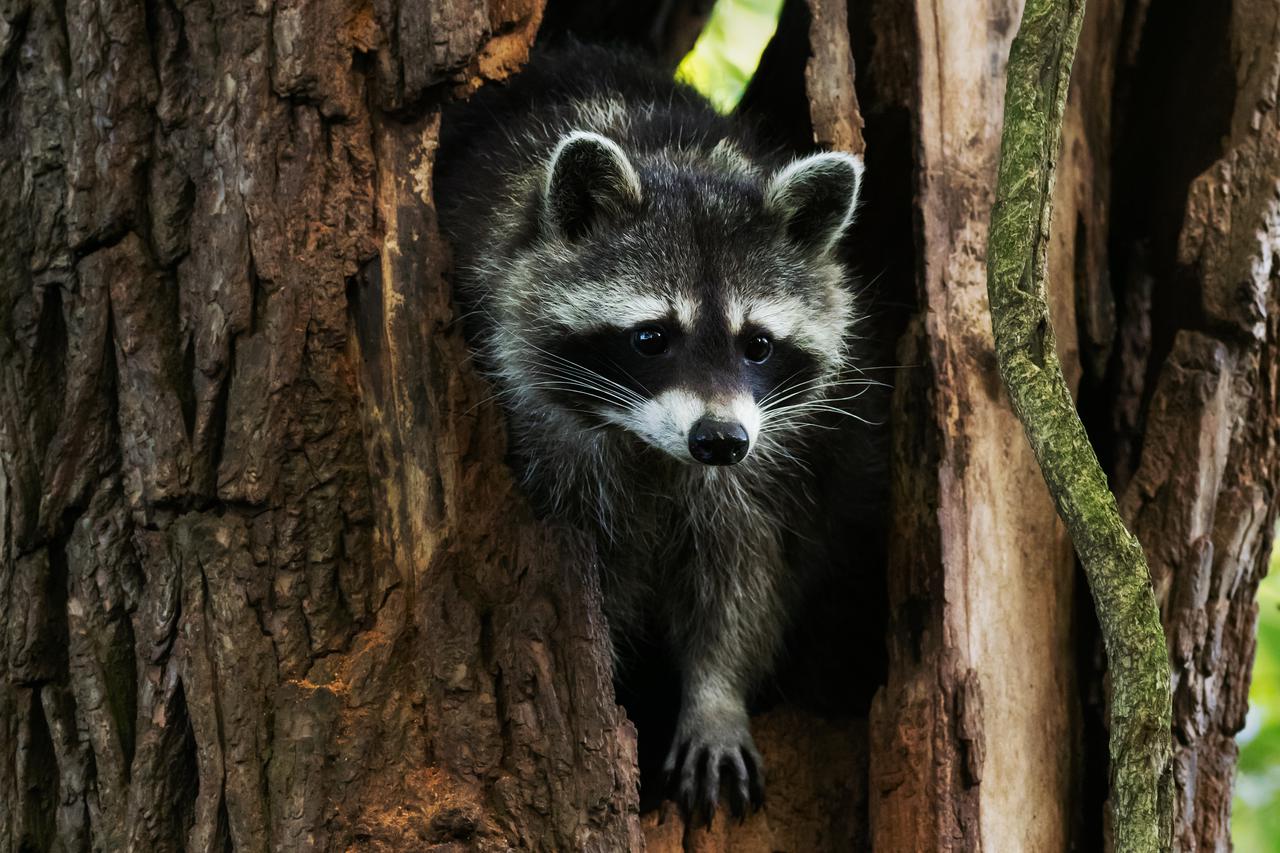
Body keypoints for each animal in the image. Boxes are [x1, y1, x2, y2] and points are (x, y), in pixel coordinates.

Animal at [436, 45, 870, 821]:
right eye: (651, 338)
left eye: (758, 345)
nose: (719, 439)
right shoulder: (549, 456)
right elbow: (586, 591)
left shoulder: (765, 468)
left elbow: (746, 575)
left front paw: (717, 697)